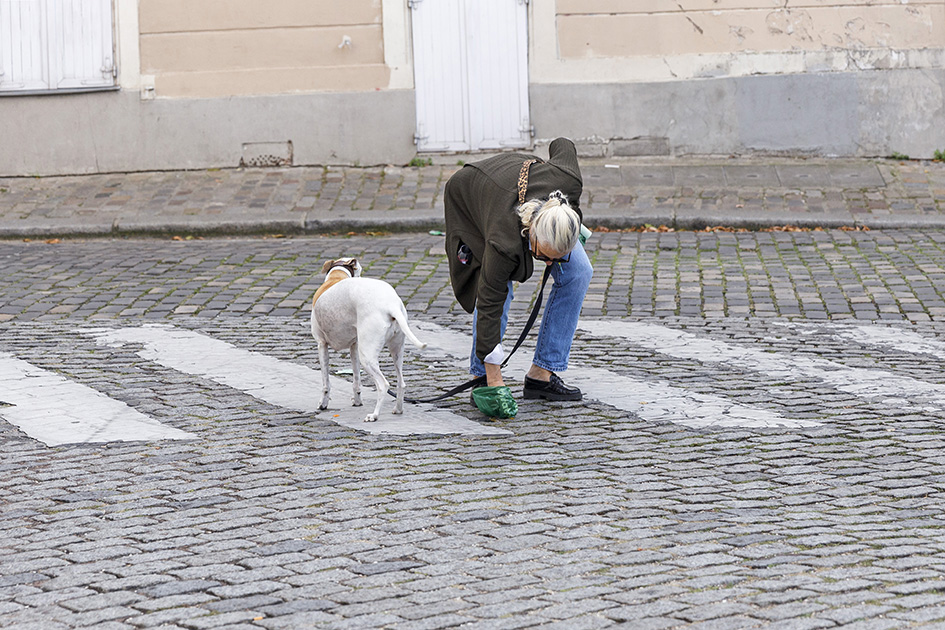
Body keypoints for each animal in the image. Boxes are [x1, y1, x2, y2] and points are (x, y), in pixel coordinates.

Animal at [310, 256, 428, 424]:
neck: (336, 276)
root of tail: (390, 305)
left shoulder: (322, 345)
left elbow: (326, 383)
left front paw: (323, 404)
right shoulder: (354, 346)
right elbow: (356, 380)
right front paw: (357, 401)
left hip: (367, 357)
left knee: (383, 385)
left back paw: (374, 415)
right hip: (395, 350)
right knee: (401, 383)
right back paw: (398, 409)